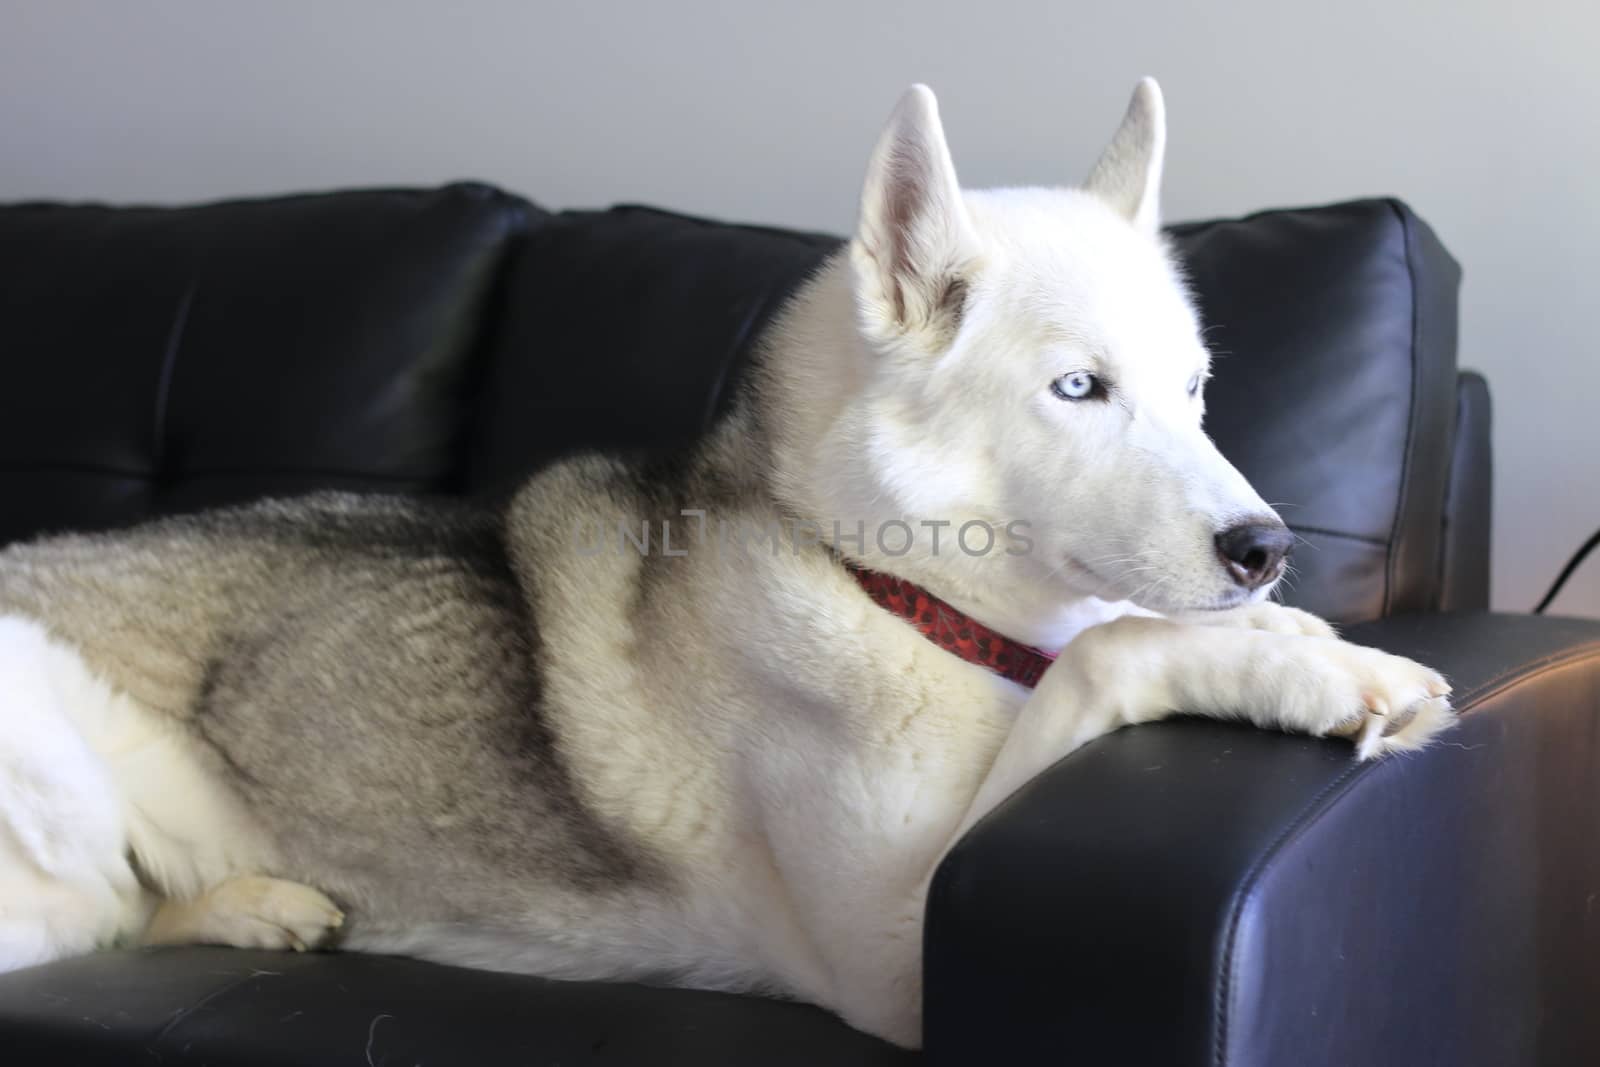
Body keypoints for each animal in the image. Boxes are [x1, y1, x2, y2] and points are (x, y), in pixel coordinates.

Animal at [0, 79, 1452, 1049]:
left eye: (1197, 388)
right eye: (1078, 389)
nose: (1268, 550)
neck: (899, 599)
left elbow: (1107, 641)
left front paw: (1300, 640)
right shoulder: (894, 959)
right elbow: (1108, 650)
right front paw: (1328, 679)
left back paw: (250, 904)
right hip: (54, 806)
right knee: (80, 924)